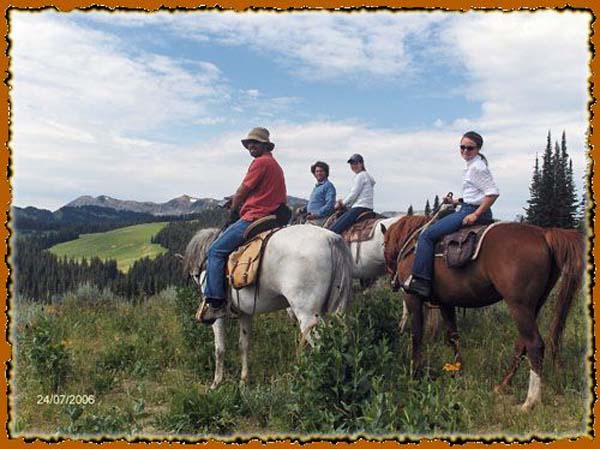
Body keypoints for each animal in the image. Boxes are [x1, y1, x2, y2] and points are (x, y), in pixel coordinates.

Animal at [183, 224, 352, 388]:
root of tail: (331, 238)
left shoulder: (218, 317)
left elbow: (220, 348)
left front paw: (216, 383)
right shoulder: (245, 314)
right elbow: (243, 345)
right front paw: (243, 381)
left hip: (308, 317)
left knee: (322, 346)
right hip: (334, 313)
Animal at [382, 215, 584, 412]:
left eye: (383, 245)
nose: (393, 280)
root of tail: (544, 234)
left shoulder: (413, 298)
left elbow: (417, 335)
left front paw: (415, 372)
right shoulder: (446, 303)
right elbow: (453, 337)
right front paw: (458, 369)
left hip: (518, 305)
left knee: (534, 345)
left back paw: (530, 401)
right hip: (533, 305)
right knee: (522, 344)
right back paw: (503, 385)